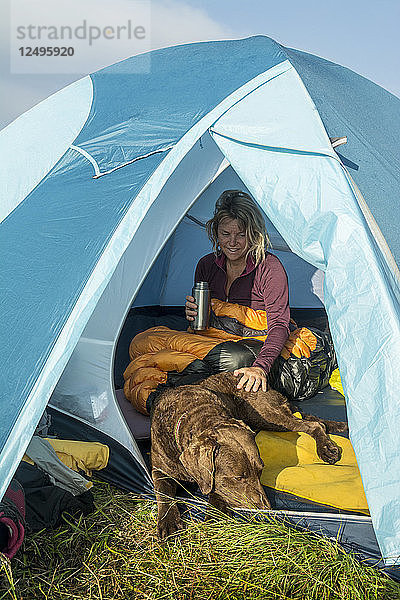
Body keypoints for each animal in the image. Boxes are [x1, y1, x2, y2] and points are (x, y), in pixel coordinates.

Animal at [150, 370, 346, 540]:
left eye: (260, 470)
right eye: (238, 477)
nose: (266, 509)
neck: (196, 414)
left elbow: (217, 490)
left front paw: (214, 515)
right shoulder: (159, 469)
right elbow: (162, 491)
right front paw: (168, 522)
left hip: (266, 415)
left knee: (313, 425)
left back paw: (326, 448)